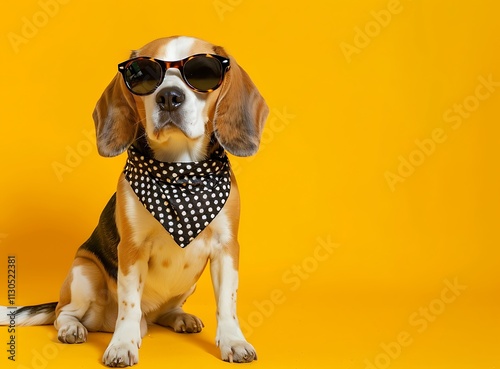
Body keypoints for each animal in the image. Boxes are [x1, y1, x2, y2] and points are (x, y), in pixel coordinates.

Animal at [0, 35, 270, 366]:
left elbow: (228, 303)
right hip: (84, 272)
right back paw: (73, 329)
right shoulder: (131, 250)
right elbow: (129, 305)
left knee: (161, 313)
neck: (179, 173)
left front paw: (233, 341)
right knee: (65, 313)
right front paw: (121, 345)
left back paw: (178, 317)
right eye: (141, 75)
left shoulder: (226, 248)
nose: (169, 97)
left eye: (203, 73)